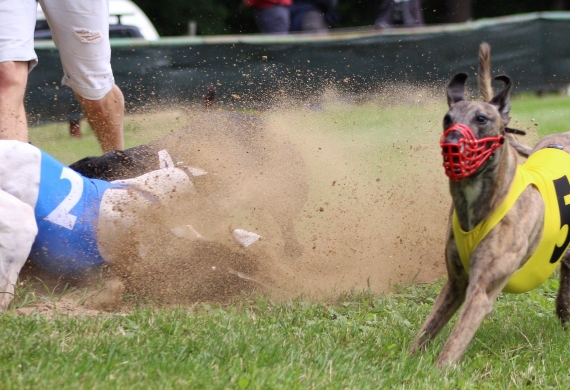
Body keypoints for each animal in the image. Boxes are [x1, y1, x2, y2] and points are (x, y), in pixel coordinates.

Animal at [408, 42, 570, 366]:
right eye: (447, 119)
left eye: (481, 119)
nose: (451, 143)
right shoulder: (456, 283)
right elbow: (426, 330)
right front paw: (407, 363)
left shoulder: (481, 291)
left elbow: (453, 344)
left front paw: (437, 370)